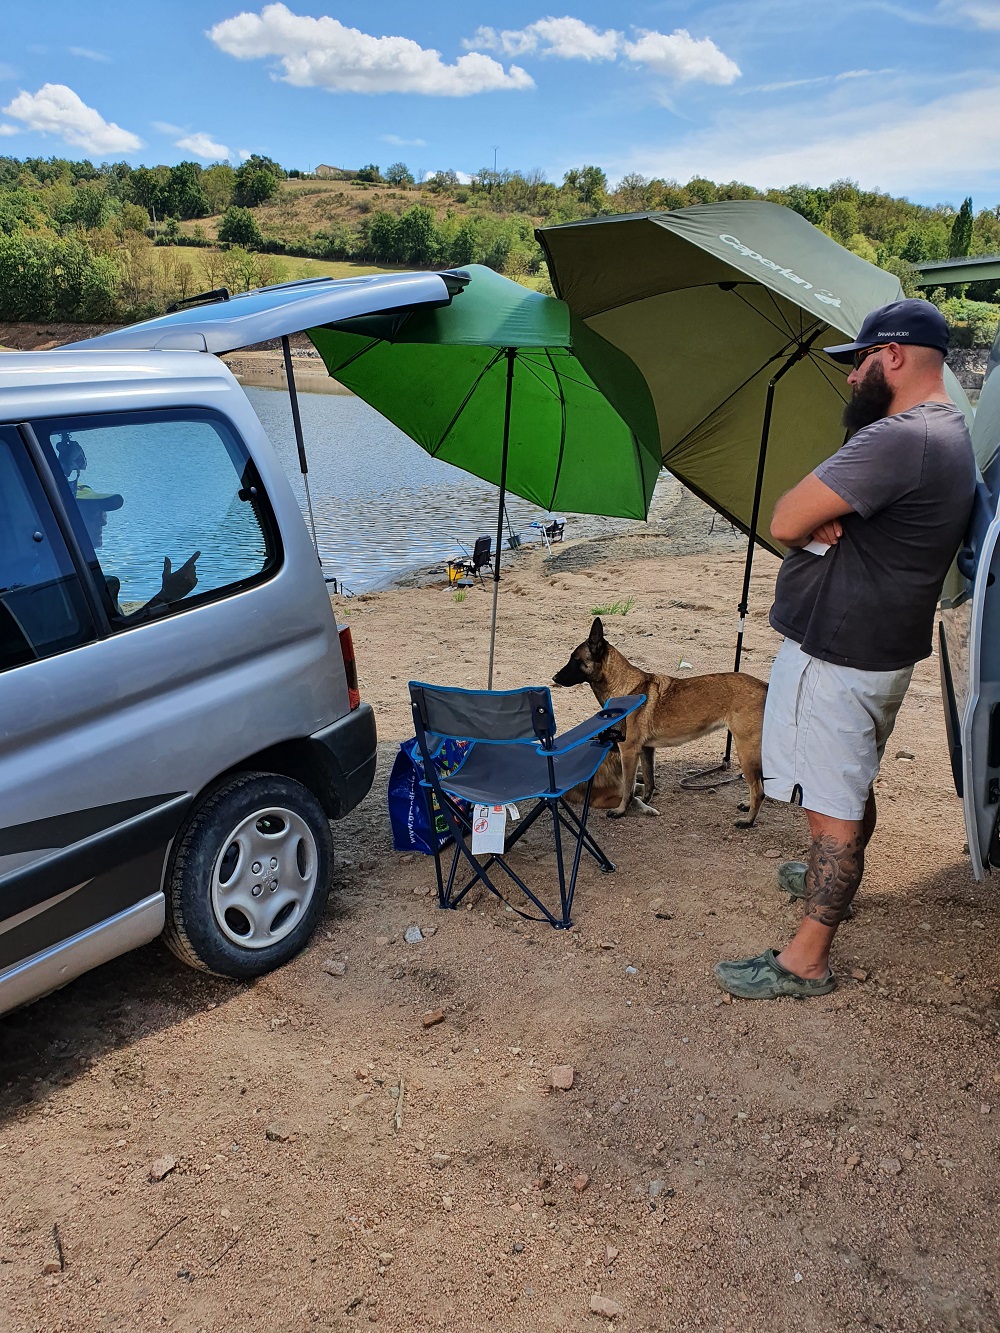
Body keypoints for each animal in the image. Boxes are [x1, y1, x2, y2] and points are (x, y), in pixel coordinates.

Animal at [552, 621, 773, 826]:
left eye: (575, 660)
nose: (554, 677)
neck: (624, 687)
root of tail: (765, 686)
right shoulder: (646, 750)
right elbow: (649, 782)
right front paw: (645, 802)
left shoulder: (628, 751)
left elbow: (627, 787)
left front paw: (621, 810)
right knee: (760, 784)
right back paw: (747, 806)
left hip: (745, 751)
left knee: (758, 790)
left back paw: (748, 821)